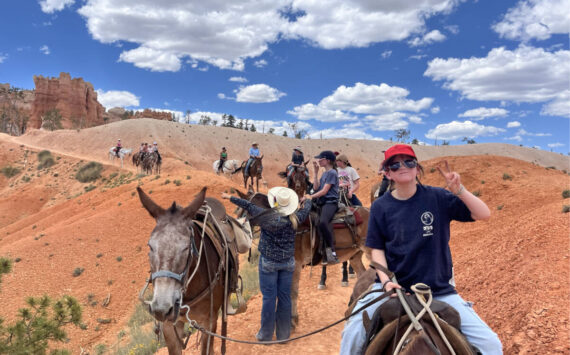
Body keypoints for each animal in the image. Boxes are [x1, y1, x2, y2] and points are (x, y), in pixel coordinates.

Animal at [232, 191, 368, 330]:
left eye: (243, 211)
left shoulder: (295, 265)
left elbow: (293, 291)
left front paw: (292, 320)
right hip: (355, 256)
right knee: (363, 275)